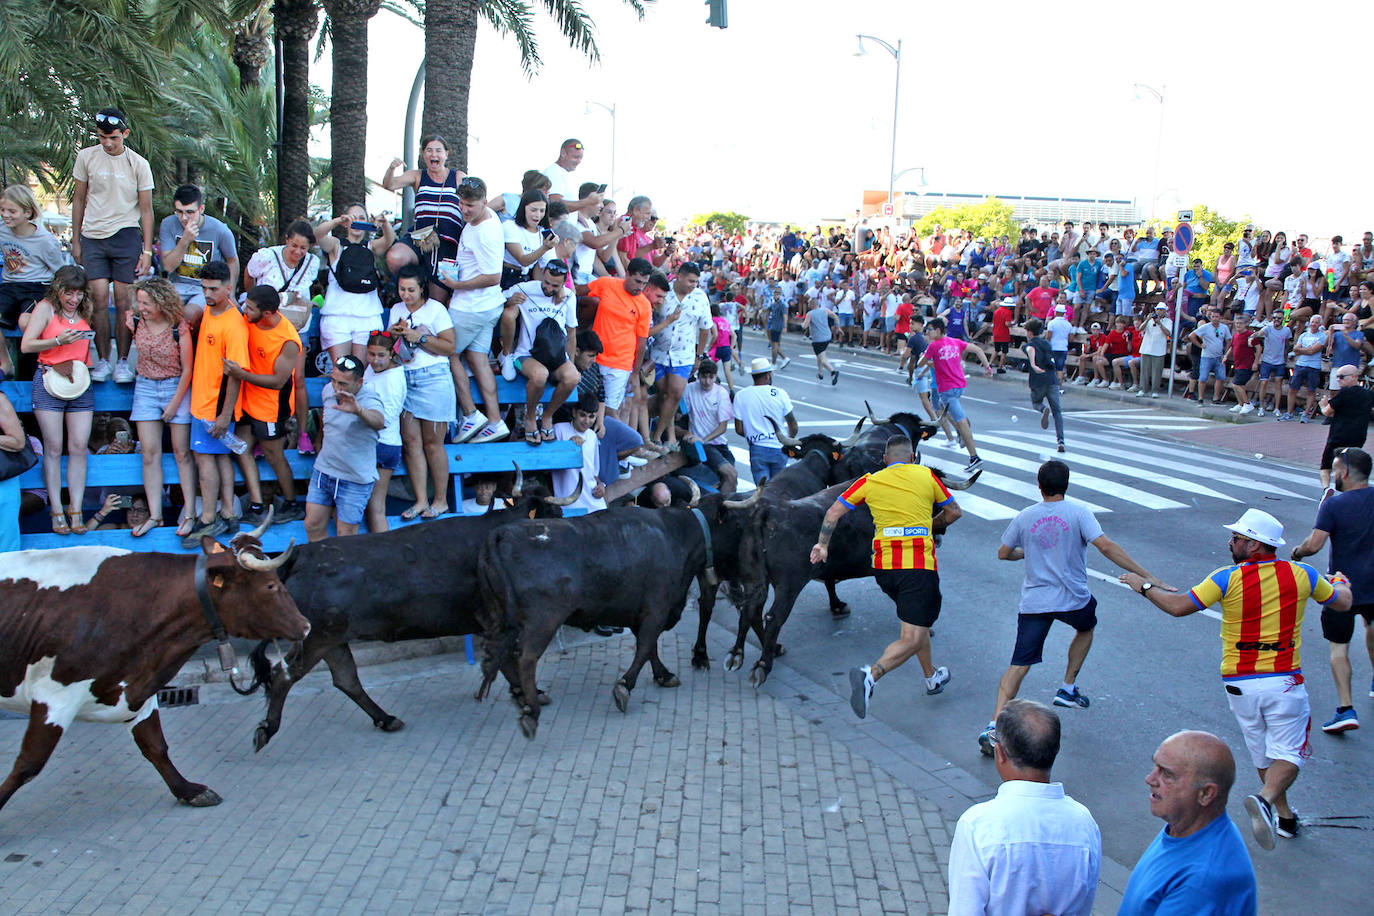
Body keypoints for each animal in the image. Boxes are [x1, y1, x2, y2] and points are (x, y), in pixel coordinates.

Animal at [0, 521, 306, 818]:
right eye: (270, 586)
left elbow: (155, 745)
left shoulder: (139, 687)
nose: (305, 625)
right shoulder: (55, 696)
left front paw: (188, 790)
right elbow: (29, 763)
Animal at [237, 477, 579, 758]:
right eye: (554, 512)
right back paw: (267, 730)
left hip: (331, 639)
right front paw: (530, 693)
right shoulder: (492, 620)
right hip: (316, 638)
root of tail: (301, 554)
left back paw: (386, 719)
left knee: (346, 679)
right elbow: (508, 658)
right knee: (285, 675)